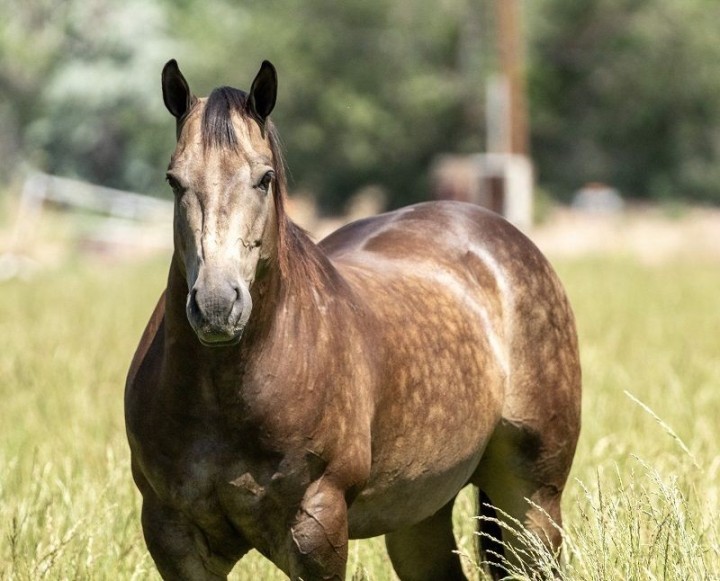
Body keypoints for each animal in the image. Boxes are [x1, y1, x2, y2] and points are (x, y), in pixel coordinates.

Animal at [125, 59, 581, 581]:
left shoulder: (316, 526)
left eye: (264, 178)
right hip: (420, 513)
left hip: (534, 502)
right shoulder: (173, 535)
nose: (218, 306)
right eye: (174, 180)